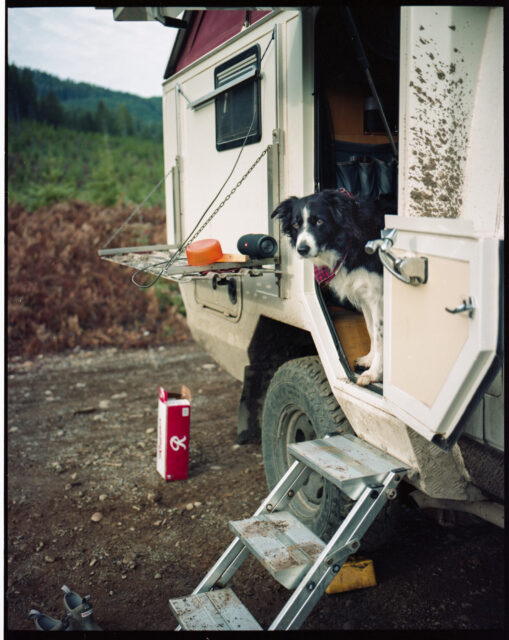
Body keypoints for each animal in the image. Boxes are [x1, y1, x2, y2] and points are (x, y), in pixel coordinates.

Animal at [270, 185, 384, 384]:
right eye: (295, 225)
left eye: (319, 221)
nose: (302, 249)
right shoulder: (365, 294)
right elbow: (371, 329)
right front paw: (369, 360)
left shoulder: (378, 296)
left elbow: (379, 336)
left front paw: (374, 373)